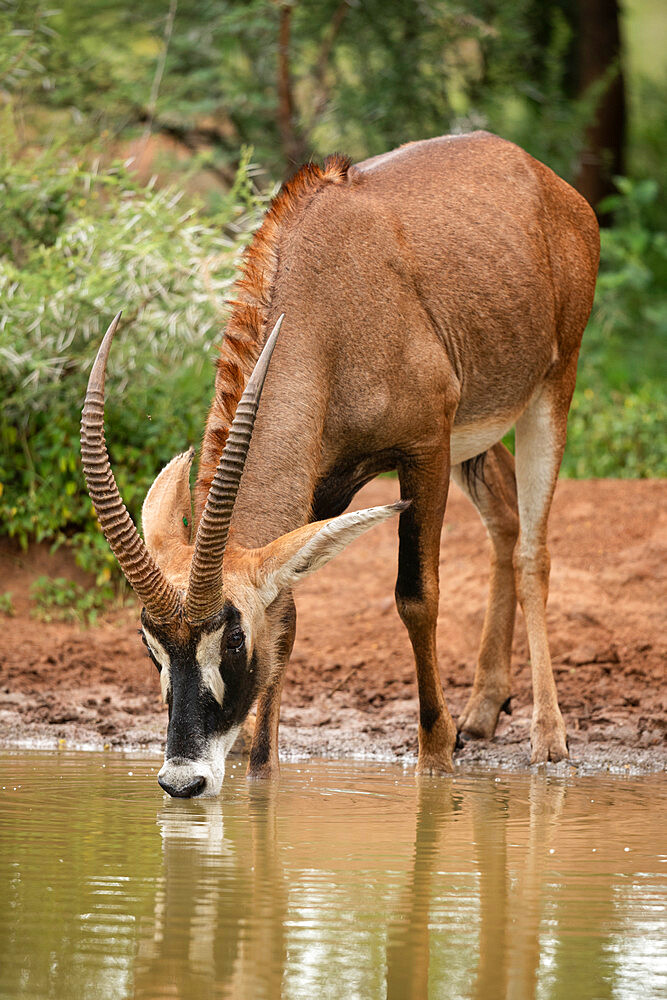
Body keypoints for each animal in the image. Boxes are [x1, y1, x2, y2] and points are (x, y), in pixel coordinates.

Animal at [81, 131, 596, 796]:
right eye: (150, 643)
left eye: (232, 638)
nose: (183, 780)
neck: (328, 306)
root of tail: (549, 182)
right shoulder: (321, 486)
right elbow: (289, 614)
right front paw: (261, 768)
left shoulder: (424, 447)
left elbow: (416, 595)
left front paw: (436, 751)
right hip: (479, 433)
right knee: (505, 519)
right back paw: (484, 709)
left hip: (551, 388)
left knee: (534, 549)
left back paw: (547, 737)